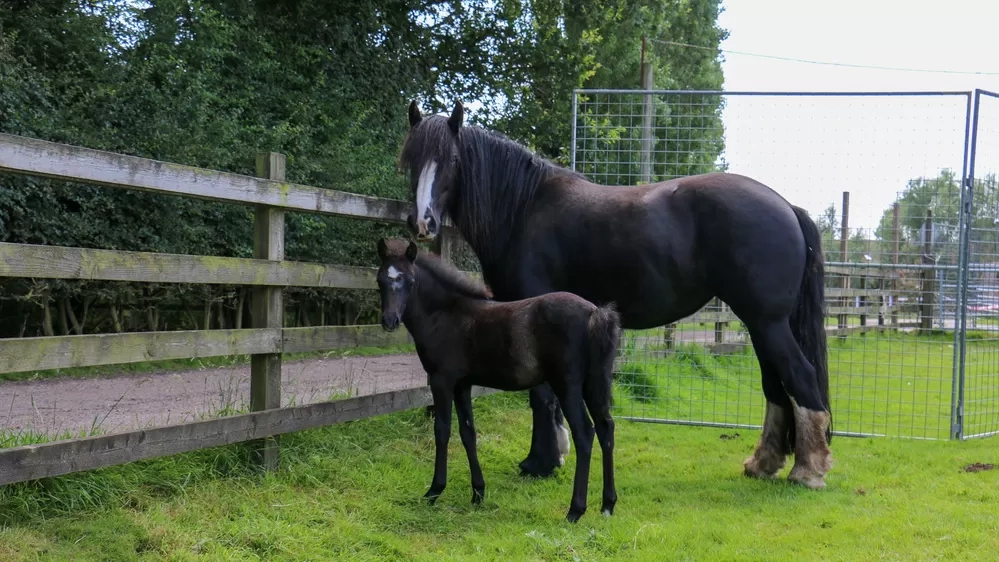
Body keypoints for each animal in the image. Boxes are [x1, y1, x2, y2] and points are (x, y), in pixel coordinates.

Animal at [376, 237, 620, 520]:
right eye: (380, 281)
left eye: (411, 281)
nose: (390, 321)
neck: (446, 314)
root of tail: (595, 313)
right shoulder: (462, 385)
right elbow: (468, 432)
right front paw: (478, 493)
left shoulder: (441, 381)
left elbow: (442, 431)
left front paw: (434, 491)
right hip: (594, 383)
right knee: (605, 428)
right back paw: (607, 505)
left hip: (567, 385)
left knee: (584, 433)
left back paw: (575, 510)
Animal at [400, 103, 836, 488]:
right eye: (410, 159)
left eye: (451, 159)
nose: (422, 222)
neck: (524, 208)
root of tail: (786, 206)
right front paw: (555, 453)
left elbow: (540, 395)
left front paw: (540, 462)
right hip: (760, 324)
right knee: (775, 385)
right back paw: (764, 463)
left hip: (766, 322)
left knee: (800, 376)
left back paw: (808, 471)